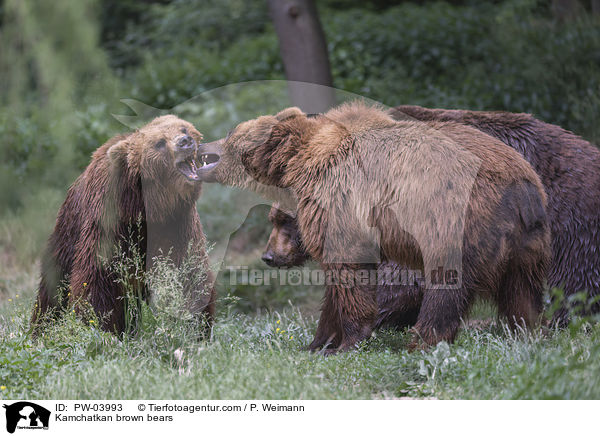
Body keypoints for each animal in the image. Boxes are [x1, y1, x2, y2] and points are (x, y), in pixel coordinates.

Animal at [31, 115, 216, 334]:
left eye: (184, 129)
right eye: (159, 143)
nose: (185, 142)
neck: (148, 210)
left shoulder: (178, 223)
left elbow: (189, 275)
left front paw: (195, 327)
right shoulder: (110, 222)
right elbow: (99, 279)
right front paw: (100, 326)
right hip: (68, 232)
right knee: (53, 289)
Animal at [199, 103, 552, 354]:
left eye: (230, 132)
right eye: (274, 220)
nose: (269, 257)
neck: (300, 162)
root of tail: (521, 186)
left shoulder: (341, 202)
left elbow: (350, 276)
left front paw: (345, 342)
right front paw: (316, 343)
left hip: (457, 220)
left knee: (446, 286)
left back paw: (421, 342)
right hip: (530, 242)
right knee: (522, 292)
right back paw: (527, 332)